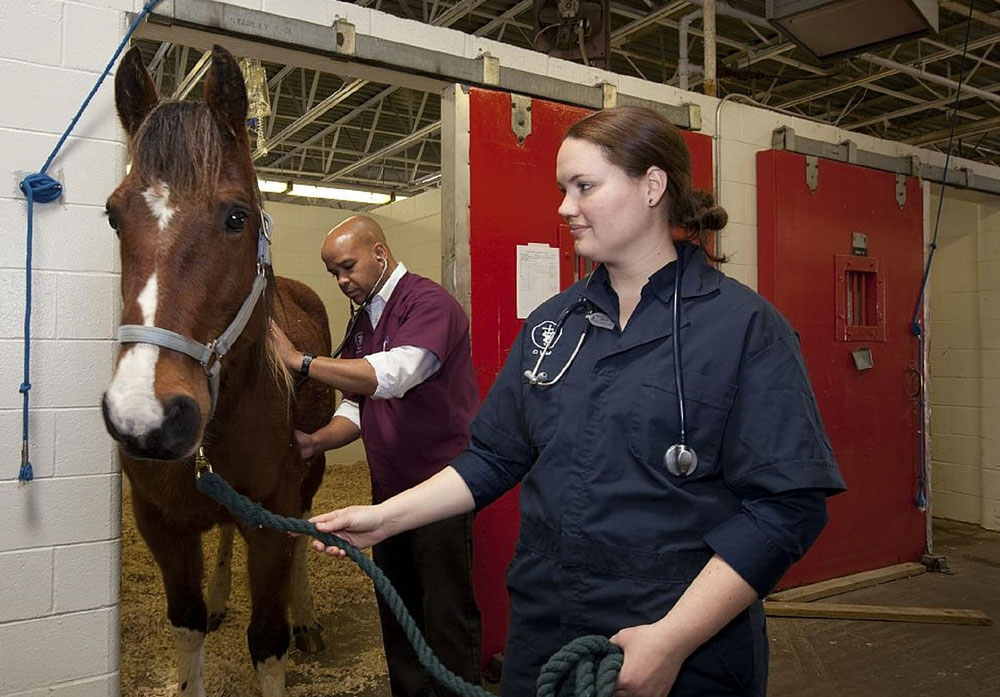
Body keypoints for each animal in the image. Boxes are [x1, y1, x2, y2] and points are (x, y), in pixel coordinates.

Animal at [102, 46, 336, 692]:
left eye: (237, 217)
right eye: (112, 216)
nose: (147, 416)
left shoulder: (272, 521)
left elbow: (268, 642)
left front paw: (291, 625)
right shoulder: (161, 524)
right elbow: (186, 627)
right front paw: (208, 606)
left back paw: (308, 620)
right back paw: (221, 596)